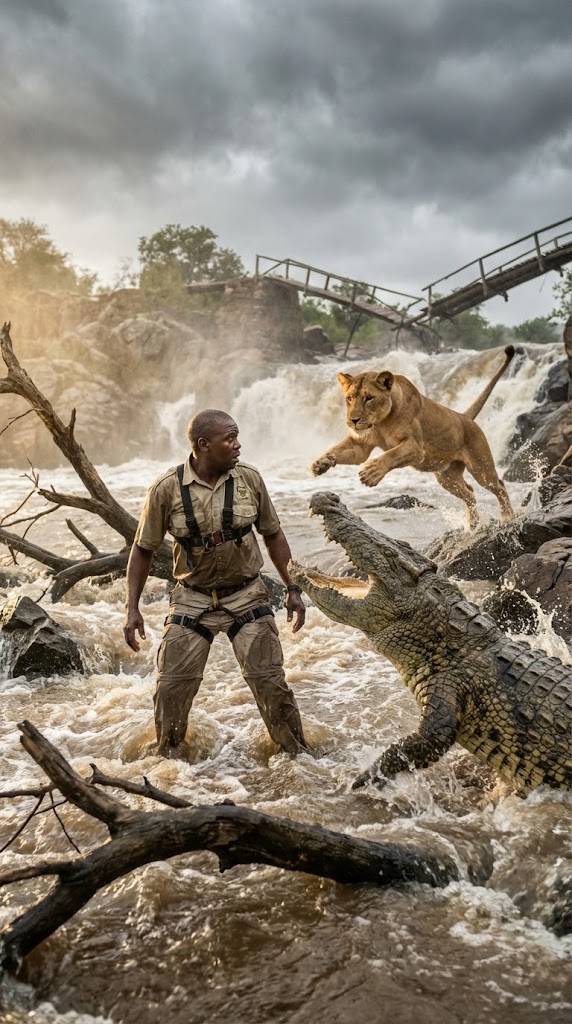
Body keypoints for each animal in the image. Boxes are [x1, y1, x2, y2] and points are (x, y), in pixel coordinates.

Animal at [311, 345, 515, 530]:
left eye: (369, 398)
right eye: (349, 399)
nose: (353, 421)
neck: (381, 423)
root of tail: (464, 417)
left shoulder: (416, 448)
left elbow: (391, 455)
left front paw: (371, 473)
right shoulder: (360, 446)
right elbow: (337, 450)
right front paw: (321, 463)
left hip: (481, 468)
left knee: (499, 485)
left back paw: (507, 517)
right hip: (447, 477)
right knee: (470, 492)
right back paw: (472, 525)